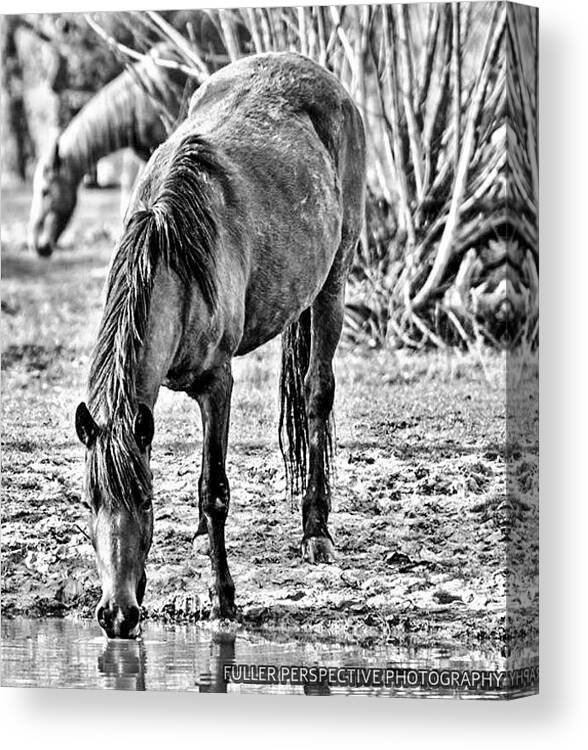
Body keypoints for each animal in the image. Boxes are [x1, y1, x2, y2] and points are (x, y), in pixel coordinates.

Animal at [76, 51, 366, 640]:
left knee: (316, 395)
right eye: (91, 501)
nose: (117, 615)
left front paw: (225, 598)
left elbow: (214, 488)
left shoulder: (218, 386)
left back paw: (316, 531)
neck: (174, 254)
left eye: (144, 499)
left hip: (333, 282)